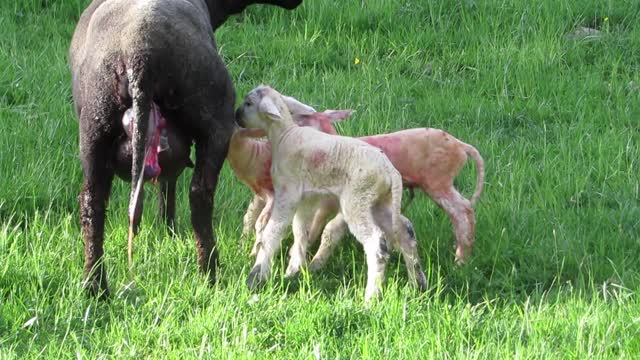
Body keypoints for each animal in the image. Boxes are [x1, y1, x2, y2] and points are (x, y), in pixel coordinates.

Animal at [235, 86, 424, 302]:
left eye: (248, 103)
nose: (236, 116)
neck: (284, 135)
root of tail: (391, 171)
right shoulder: (305, 200)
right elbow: (300, 231)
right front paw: (294, 270)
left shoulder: (287, 192)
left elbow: (273, 231)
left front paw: (257, 275)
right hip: (380, 202)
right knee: (406, 232)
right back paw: (417, 284)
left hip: (358, 199)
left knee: (376, 244)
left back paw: (371, 297)